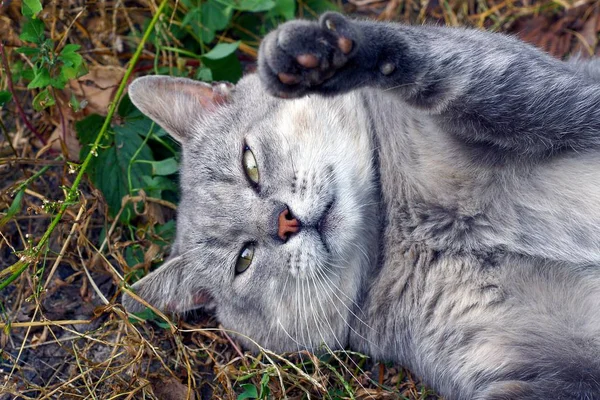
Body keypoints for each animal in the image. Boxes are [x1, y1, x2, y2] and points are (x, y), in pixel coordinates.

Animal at [120, 12, 600, 400]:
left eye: (249, 163)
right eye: (244, 259)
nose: (284, 222)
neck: (404, 223)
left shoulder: (547, 94)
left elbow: (443, 74)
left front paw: (325, 56)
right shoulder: (543, 368)